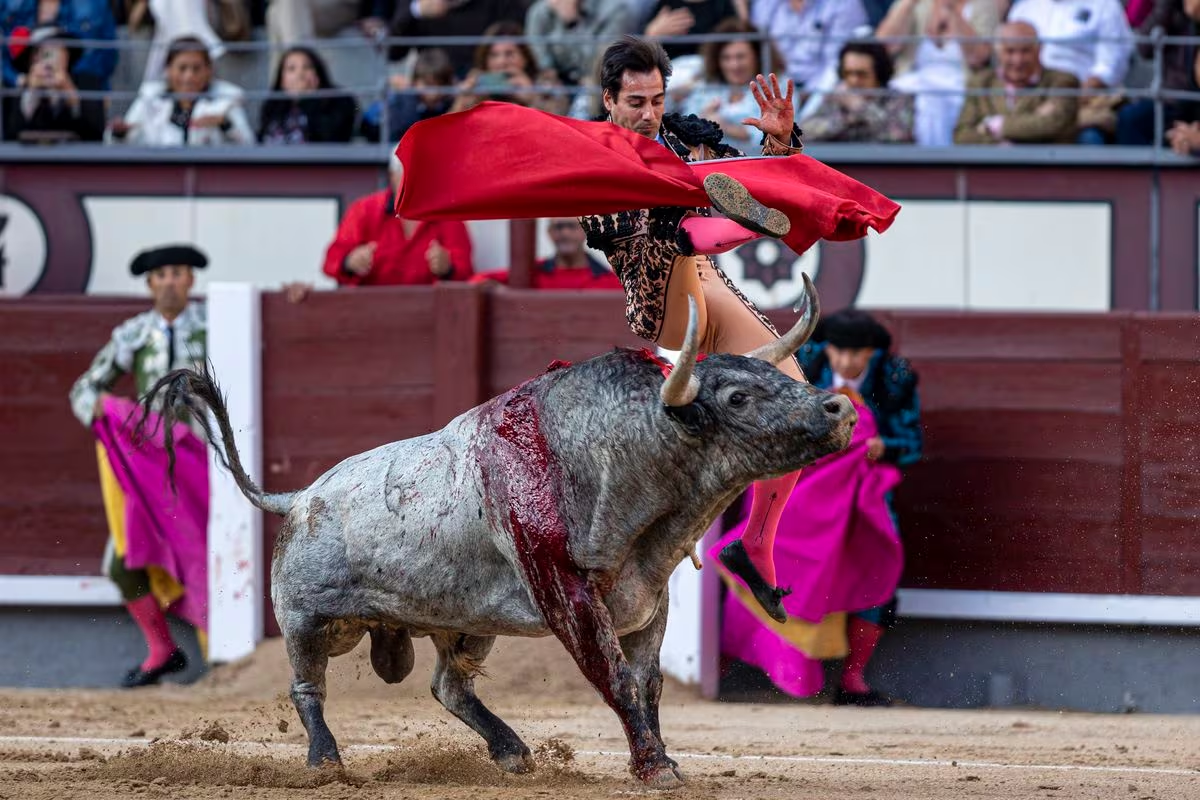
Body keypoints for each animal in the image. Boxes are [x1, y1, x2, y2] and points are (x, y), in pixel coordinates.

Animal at [145, 280, 859, 786]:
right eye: (738, 397)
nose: (839, 407)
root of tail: (296, 497)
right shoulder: (570, 600)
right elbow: (616, 678)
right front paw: (656, 769)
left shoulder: (646, 600)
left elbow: (648, 682)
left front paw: (657, 759)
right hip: (308, 619)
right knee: (307, 687)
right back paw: (327, 763)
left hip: (466, 621)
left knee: (449, 687)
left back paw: (512, 751)